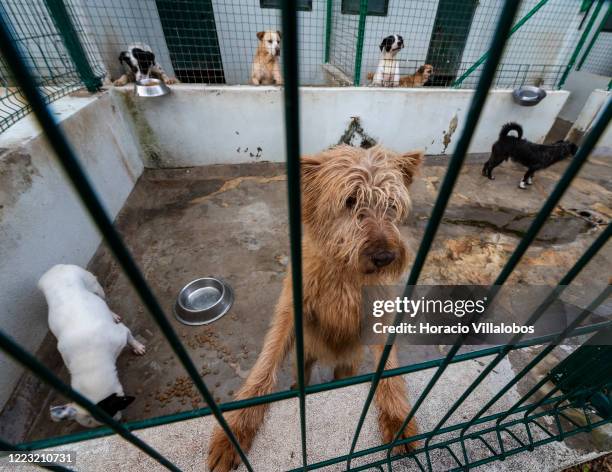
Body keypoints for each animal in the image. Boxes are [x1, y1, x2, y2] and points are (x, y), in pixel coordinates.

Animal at [37, 266, 145, 428]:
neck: (89, 362)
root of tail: (57, 268)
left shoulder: (121, 333)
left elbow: (130, 338)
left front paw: (137, 346)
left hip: (96, 288)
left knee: (103, 300)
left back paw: (112, 315)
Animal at [208, 145, 424, 472]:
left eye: (391, 204)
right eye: (350, 201)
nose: (385, 257)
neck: (343, 273)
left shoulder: (377, 317)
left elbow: (388, 370)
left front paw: (398, 420)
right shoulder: (290, 313)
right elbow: (265, 367)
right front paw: (234, 431)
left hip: (347, 364)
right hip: (304, 355)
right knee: (303, 377)